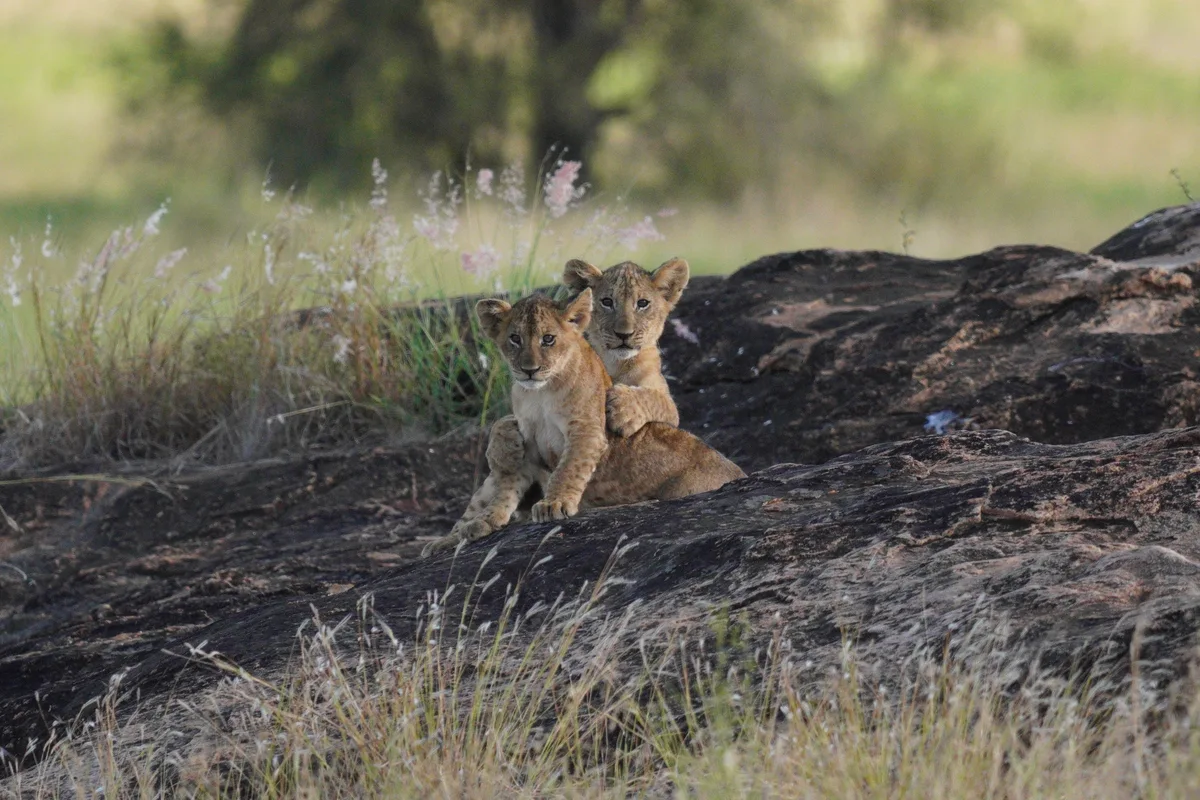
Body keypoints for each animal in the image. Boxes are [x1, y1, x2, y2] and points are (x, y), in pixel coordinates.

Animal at [421, 290, 743, 556]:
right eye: (515, 339)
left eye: (548, 339)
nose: (529, 370)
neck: (541, 393)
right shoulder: (527, 447)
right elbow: (506, 489)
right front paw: (487, 520)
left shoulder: (586, 430)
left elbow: (568, 469)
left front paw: (554, 505)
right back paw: (446, 539)